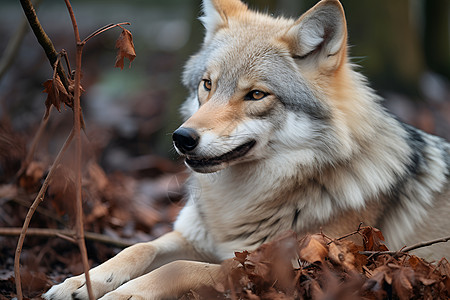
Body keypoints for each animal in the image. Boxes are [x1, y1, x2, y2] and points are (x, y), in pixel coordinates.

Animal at [44, 0, 448, 298]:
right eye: (207, 84)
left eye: (255, 94)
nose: (182, 137)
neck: (236, 204)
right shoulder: (195, 237)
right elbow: (139, 248)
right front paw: (80, 282)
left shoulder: (274, 268)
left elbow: (176, 267)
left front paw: (126, 294)